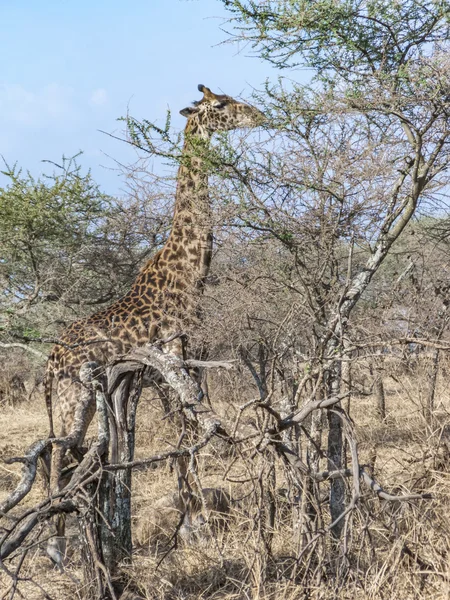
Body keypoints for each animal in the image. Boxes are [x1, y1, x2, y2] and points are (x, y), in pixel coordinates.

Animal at [44, 84, 262, 494]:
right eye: (221, 103)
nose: (258, 114)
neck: (189, 271)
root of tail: (49, 362)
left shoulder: (182, 355)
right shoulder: (176, 350)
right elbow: (190, 420)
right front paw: (197, 490)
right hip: (71, 399)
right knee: (57, 456)